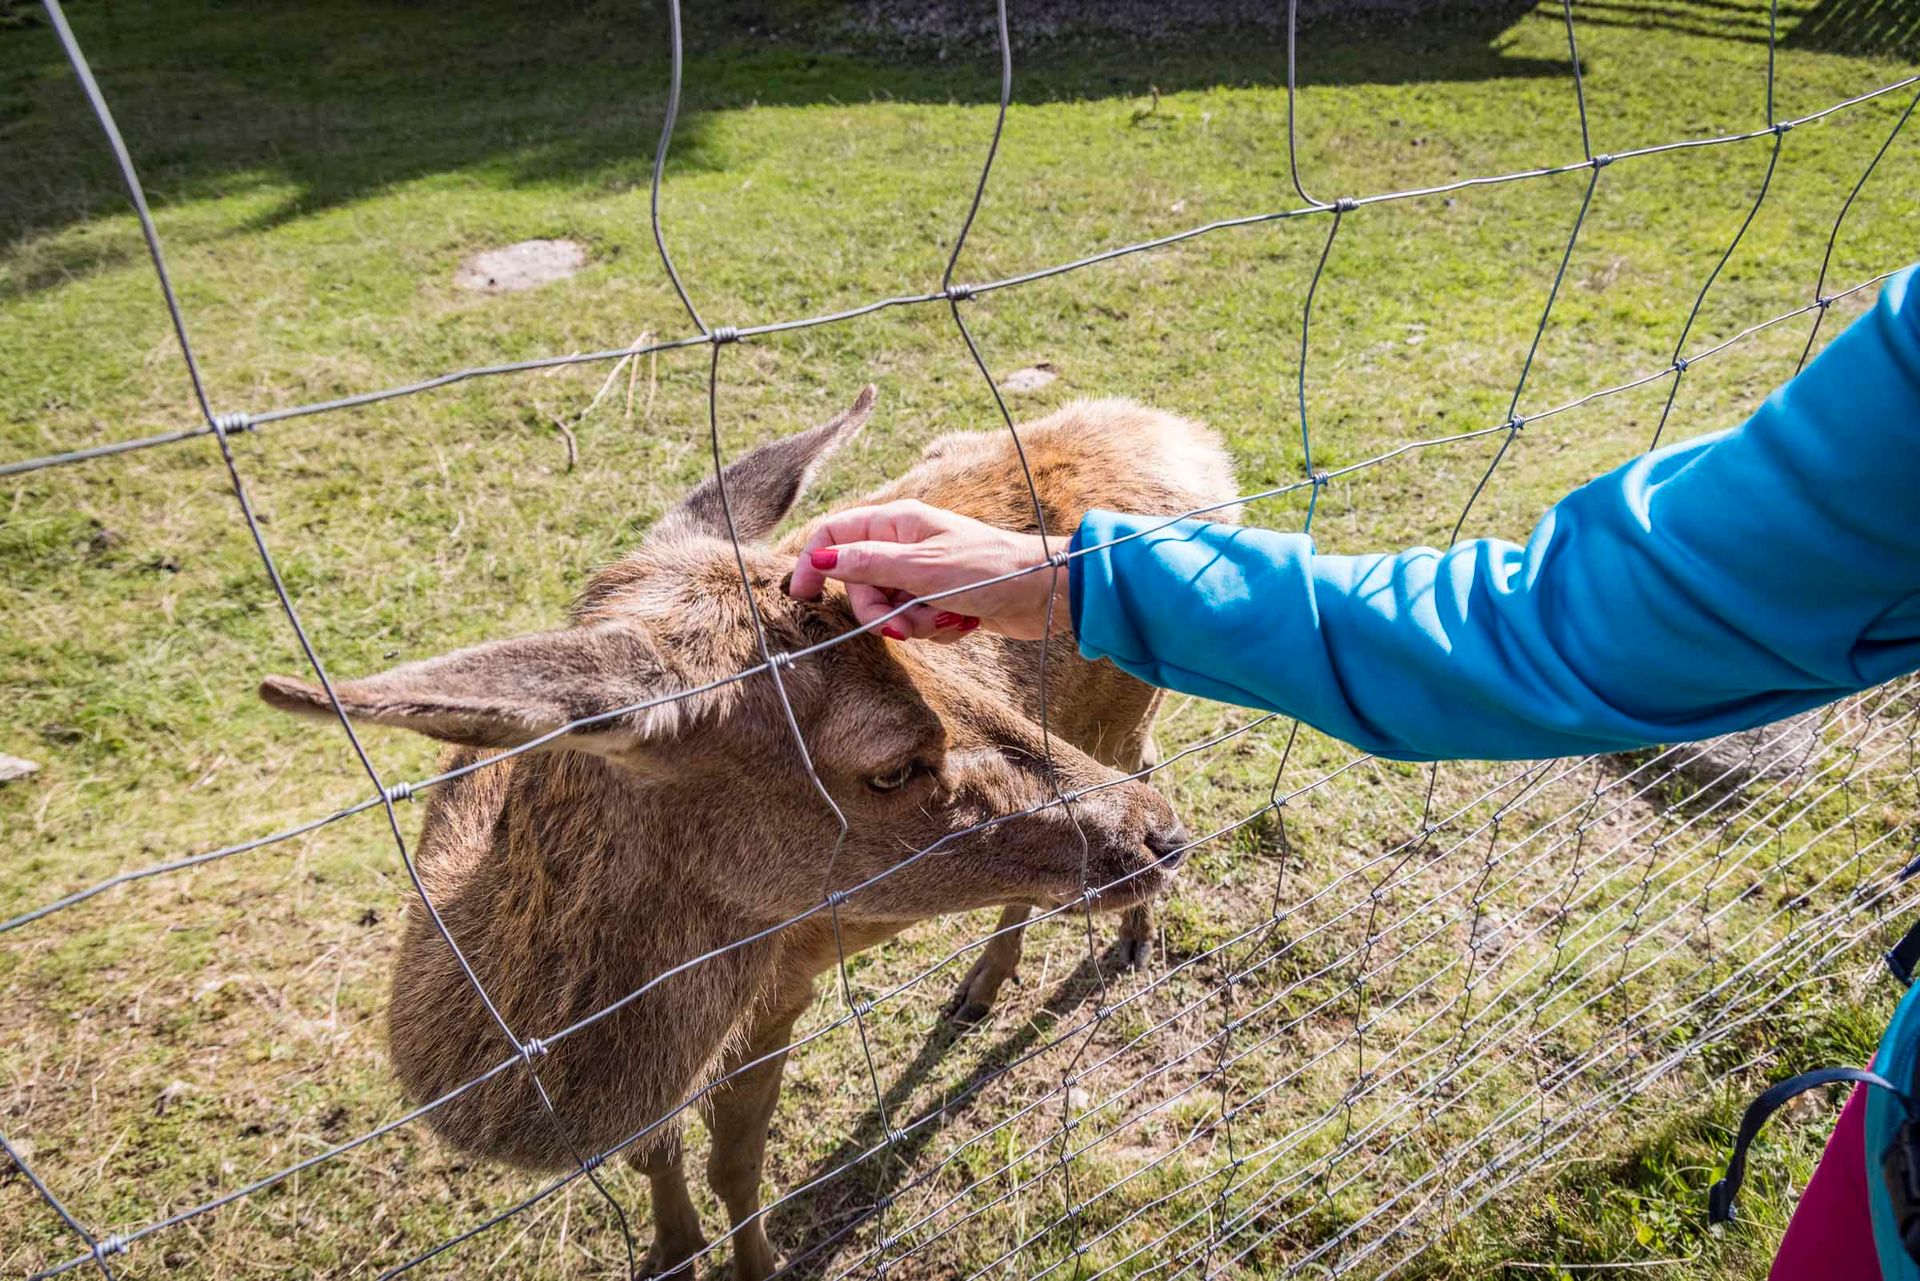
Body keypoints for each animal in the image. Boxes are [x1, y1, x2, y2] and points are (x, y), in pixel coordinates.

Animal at [255, 386, 1236, 1275]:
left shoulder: (776, 984)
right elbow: (657, 1155)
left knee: (1151, 759)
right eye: (892, 765)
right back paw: (992, 978)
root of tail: (1194, 441)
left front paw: (757, 1263)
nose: (1161, 840)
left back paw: (1122, 934)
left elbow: (736, 1164)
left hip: (1128, 709)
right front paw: (670, 1251)